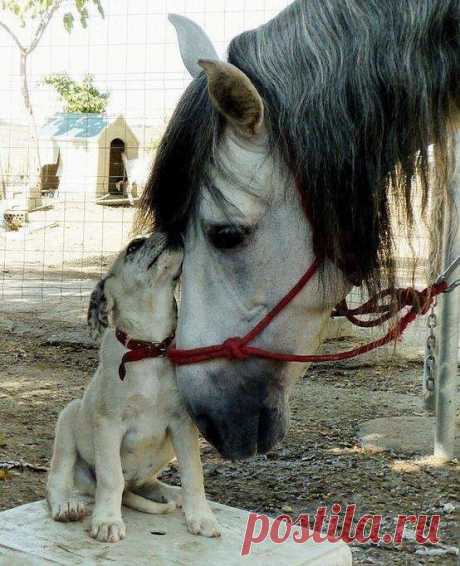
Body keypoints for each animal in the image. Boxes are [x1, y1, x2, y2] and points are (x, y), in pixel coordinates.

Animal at [47, 233, 220, 544]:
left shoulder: (182, 424)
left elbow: (193, 474)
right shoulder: (108, 424)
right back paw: (67, 504)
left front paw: (200, 516)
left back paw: (169, 494)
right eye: (134, 246)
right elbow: (111, 477)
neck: (149, 346)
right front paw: (107, 520)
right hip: (68, 419)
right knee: (58, 479)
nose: (172, 230)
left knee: (147, 483)